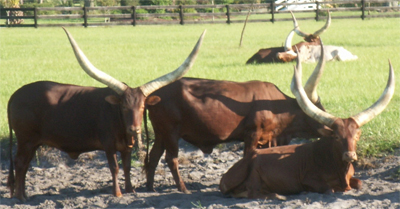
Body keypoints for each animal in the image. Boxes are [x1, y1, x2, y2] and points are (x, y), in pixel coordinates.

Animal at [6, 27, 206, 201]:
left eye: (143, 107)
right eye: (123, 106)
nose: (134, 129)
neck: (120, 125)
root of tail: (14, 96)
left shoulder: (127, 147)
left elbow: (127, 167)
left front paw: (130, 190)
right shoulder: (108, 144)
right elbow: (114, 167)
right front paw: (117, 193)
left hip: (32, 142)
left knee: (24, 165)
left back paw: (23, 194)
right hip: (25, 139)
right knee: (20, 163)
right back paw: (20, 197)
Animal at [144, 38, 334, 194]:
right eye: (315, 109)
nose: (330, 128)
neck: (274, 105)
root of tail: (153, 95)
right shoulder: (252, 134)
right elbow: (247, 155)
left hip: (161, 134)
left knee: (153, 157)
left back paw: (150, 187)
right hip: (171, 133)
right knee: (171, 159)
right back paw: (183, 188)